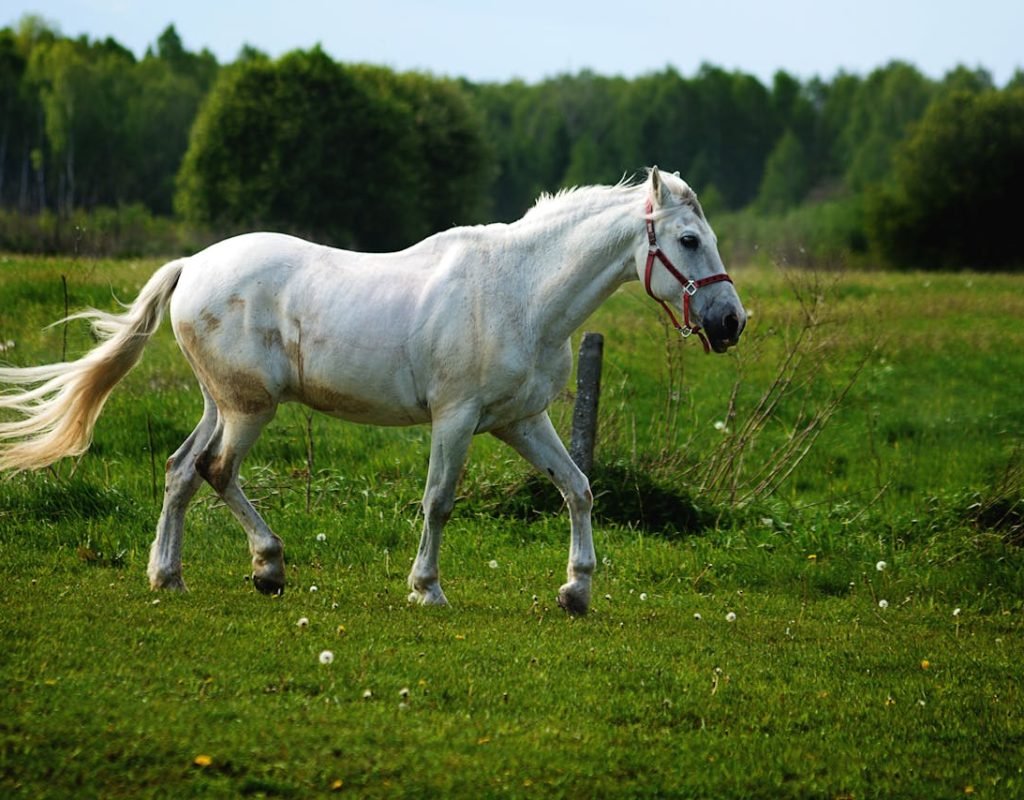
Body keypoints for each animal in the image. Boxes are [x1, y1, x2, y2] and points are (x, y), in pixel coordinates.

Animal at [0, 167, 746, 614]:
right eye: (687, 239)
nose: (730, 323)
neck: (522, 291)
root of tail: (191, 266)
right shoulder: (456, 419)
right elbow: (438, 502)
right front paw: (426, 589)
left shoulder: (522, 420)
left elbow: (579, 489)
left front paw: (576, 590)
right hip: (249, 408)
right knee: (215, 470)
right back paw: (265, 568)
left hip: (225, 402)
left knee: (183, 469)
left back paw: (173, 574)